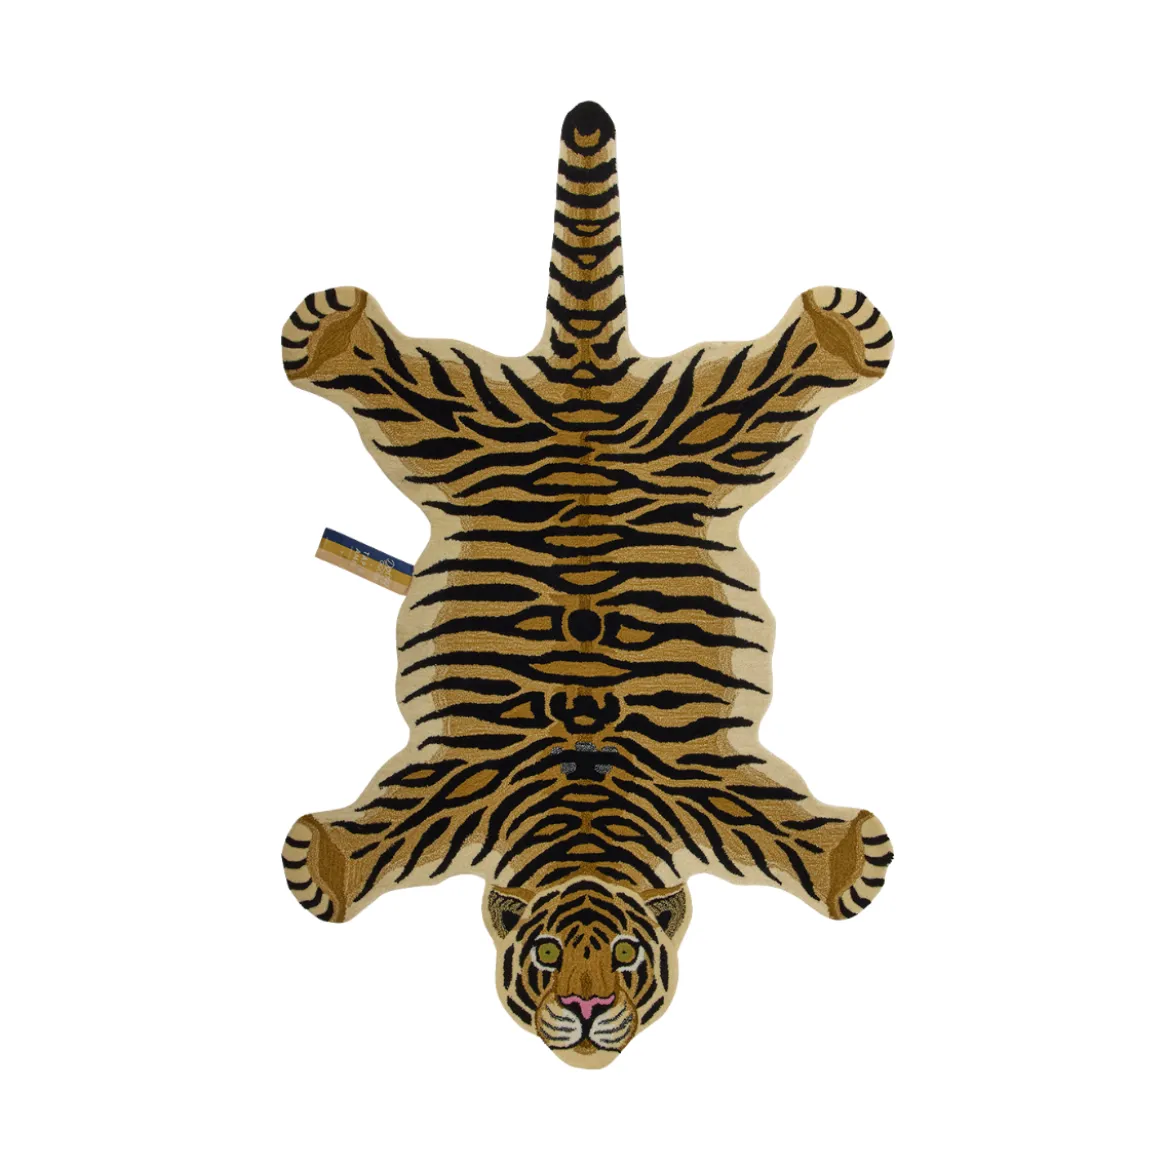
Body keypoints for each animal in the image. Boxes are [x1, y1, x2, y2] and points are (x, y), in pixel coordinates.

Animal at [279, 100, 895, 1068]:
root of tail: (584, 389)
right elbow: (371, 847)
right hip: (462, 420)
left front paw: (849, 856)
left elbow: (800, 847)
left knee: (776, 373)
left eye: (625, 955)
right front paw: (324, 859)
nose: (585, 1010)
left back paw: (834, 335)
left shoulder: (715, 796)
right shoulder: (453, 796)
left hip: (711, 423)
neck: (585, 818)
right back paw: (336, 336)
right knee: (391, 370)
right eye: (545, 954)